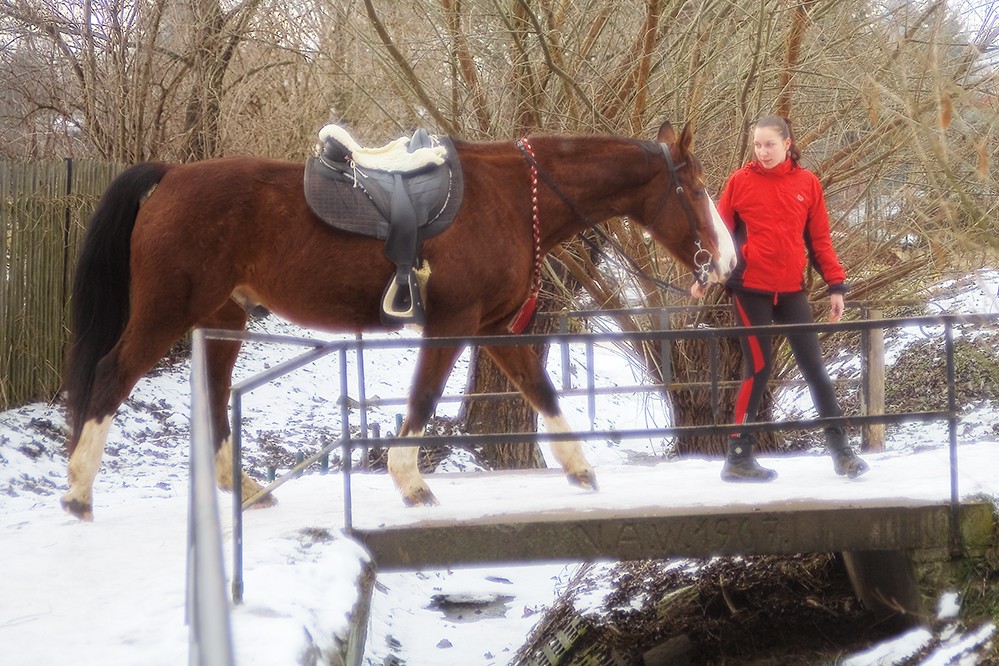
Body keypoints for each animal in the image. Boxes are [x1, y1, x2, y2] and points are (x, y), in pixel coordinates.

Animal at [60, 119, 736, 520]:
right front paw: (409, 481)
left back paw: (244, 489)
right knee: (110, 375)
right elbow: (423, 398)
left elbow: (540, 390)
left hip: (222, 318)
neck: (512, 198)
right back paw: (78, 491)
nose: (728, 260)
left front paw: (579, 468)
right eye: (697, 189)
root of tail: (172, 176)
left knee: (214, 393)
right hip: (164, 313)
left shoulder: (493, 329)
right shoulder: (453, 323)